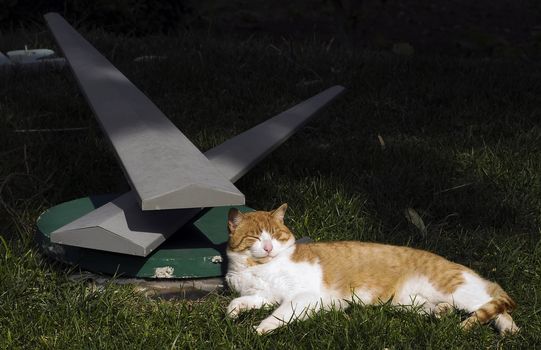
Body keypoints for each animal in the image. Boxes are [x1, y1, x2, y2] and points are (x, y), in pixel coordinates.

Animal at [225, 204, 520, 334]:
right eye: (255, 237)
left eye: (275, 235)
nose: (267, 247)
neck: (258, 267)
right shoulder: (264, 295)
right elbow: (240, 301)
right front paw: (234, 313)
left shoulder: (304, 298)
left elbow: (280, 314)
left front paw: (260, 329)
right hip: (409, 303)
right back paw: (442, 312)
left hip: (458, 291)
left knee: (496, 303)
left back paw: (508, 328)